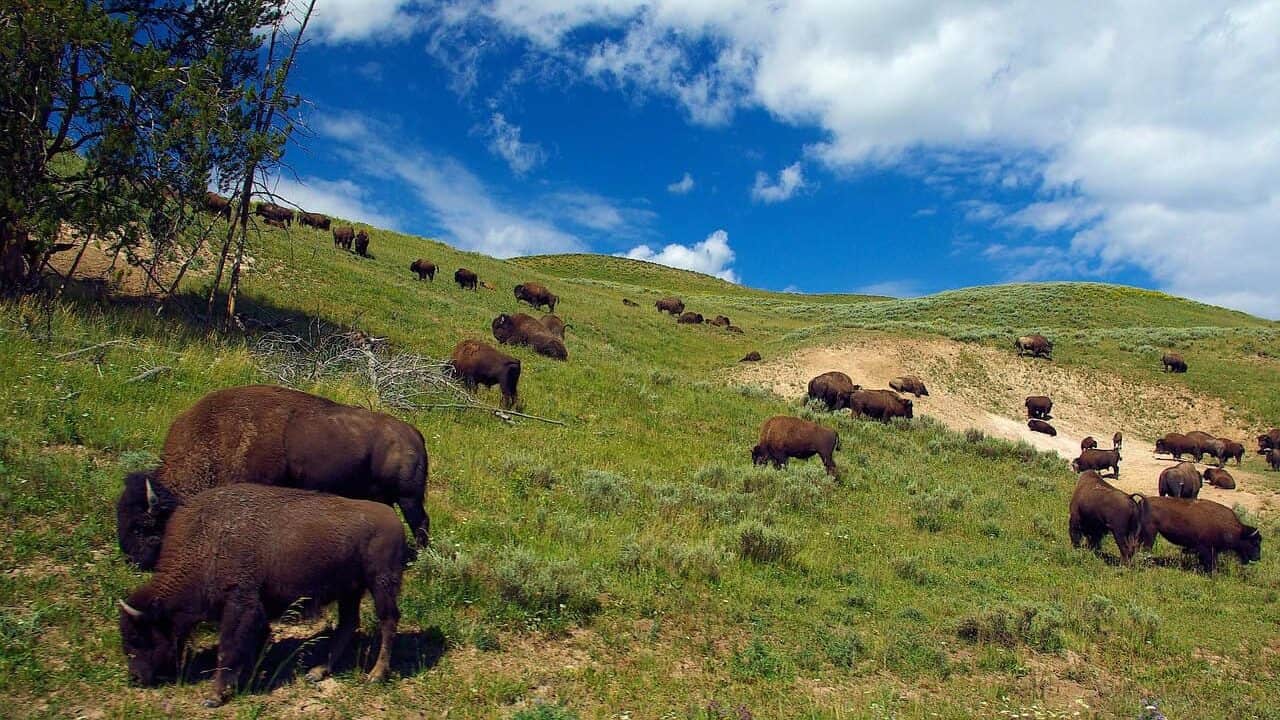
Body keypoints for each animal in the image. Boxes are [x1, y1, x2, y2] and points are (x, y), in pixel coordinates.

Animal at [115, 385, 429, 570]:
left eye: (143, 526)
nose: (131, 560)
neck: (218, 437)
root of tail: (413, 434)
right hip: (384, 499)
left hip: (409, 498)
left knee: (421, 522)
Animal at [118, 485, 405, 707]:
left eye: (138, 637)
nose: (136, 678)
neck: (206, 542)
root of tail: (393, 518)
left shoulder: (239, 604)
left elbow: (228, 649)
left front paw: (214, 697)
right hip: (349, 591)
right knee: (348, 624)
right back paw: (318, 671)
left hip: (381, 583)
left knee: (388, 621)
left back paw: (376, 674)